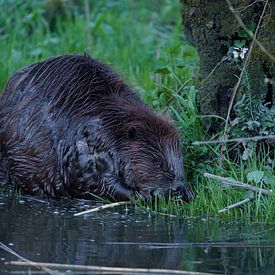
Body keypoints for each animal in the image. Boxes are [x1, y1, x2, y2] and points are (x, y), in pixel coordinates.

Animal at [0, 55, 194, 202]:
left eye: (180, 159)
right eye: (157, 163)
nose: (178, 188)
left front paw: (188, 192)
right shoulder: (85, 148)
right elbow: (93, 181)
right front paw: (143, 195)